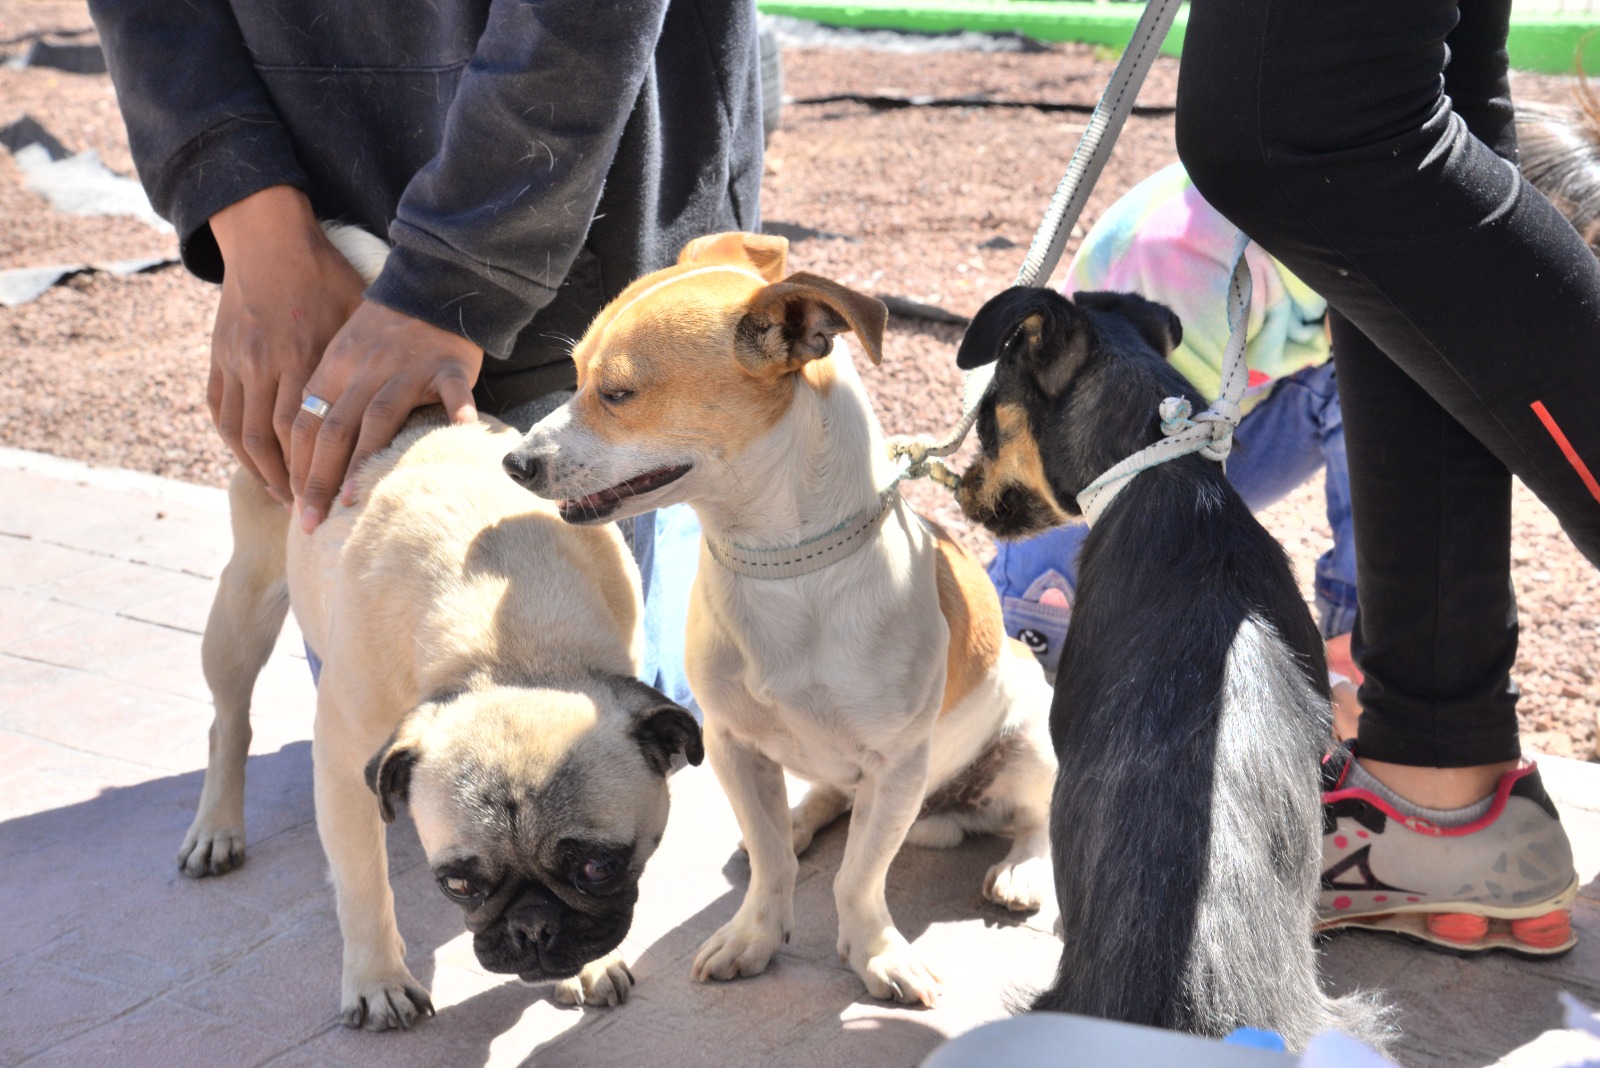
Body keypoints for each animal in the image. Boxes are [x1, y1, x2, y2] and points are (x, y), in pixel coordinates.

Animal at [505, 230, 1062, 1004]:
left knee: (1036, 819)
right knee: (826, 801)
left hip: (1031, 739)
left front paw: (875, 953)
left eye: (617, 393)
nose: (513, 461)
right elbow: (775, 867)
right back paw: (801, 819)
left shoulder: (895, 766)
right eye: (576, 374)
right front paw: (756, 935)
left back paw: (1021, 870)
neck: (782, 570)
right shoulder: (734, 746)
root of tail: (944, 808)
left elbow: (859, 878)